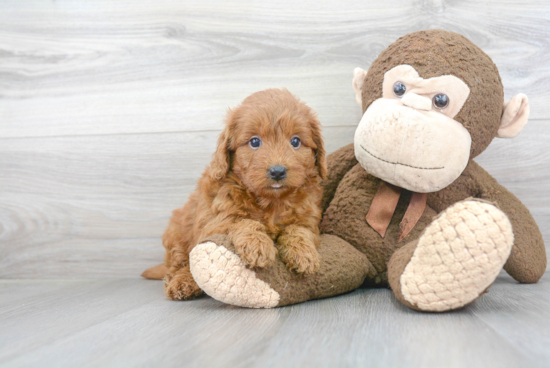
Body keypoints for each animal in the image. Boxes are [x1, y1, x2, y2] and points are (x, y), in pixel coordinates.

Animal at [144, 87, 330, 300]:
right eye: (255, 142)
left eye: (296, 141)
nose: (277, 171)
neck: (272, 202)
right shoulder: (217, 221)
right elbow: (242, 221)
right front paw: (258, 245)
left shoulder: (308, 218)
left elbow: (299, 230)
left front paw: (304, 254)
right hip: (177, 235)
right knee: (181, 264)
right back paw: (183, 282)